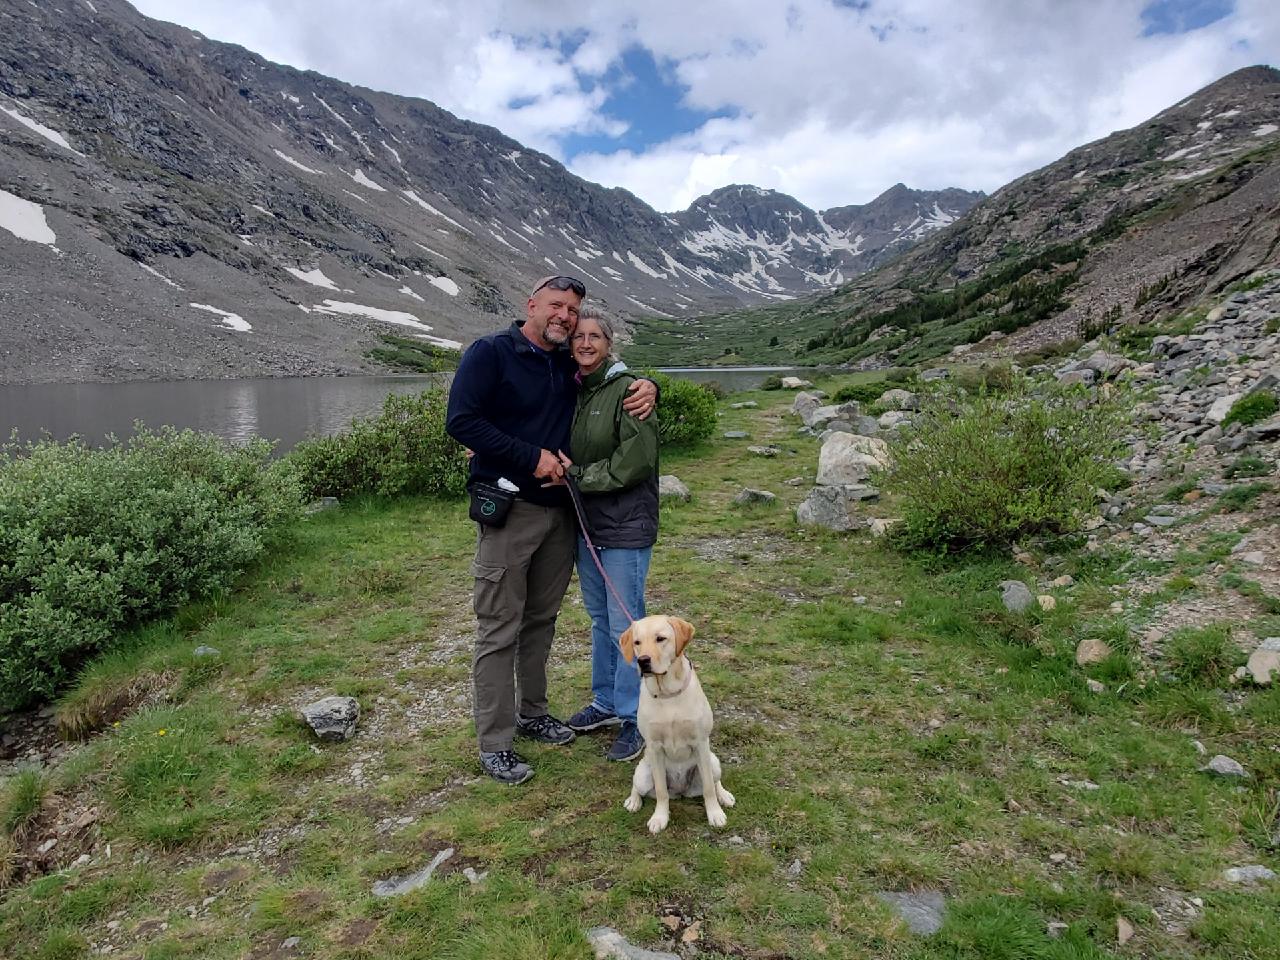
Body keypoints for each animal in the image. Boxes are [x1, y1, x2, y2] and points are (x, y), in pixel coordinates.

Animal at [619, 615, 734, 833]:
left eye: (660, 638)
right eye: (637, 642)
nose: (642, 661)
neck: (667, 694)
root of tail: (681, 792)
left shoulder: (701, 742)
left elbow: (708, 788)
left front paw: (714, 814)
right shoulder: (654, 747)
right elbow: (661, 792)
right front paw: (660, 817)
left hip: (713, 762)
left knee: (714, 782)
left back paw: (724, 795)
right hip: (643, 774)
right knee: (638, 786)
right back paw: (633, 800)